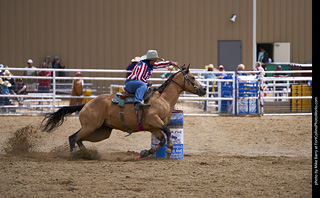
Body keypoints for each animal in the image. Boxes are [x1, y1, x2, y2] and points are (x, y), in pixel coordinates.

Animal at [41, 64, 206, 159]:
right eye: (192, 77)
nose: (203, 89)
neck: (162, 98)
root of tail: (87, 105)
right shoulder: (154, 121)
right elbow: (168, 131)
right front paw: (169, 150)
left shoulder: (153, 127)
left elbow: (162, 139)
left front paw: (146, 152)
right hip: (91, 126)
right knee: (73, 137)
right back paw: (73, 155)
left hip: (100, 131)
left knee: (79, 139)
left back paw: (86, 154)